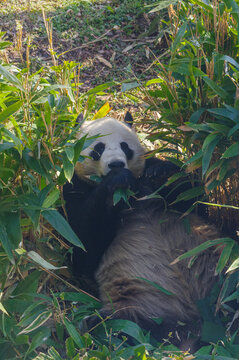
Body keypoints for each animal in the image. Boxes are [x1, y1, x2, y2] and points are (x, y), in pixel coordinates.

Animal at [63, 112, 220, 348]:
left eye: (125, 146)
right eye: (98, 148)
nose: (116, 164)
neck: (132, 193)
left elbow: (194, 199)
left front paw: (160, 172)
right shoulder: (71, 190)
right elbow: (82, 245)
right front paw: (116, 180)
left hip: (215, 260)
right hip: (144, 297)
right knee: (121, 323)